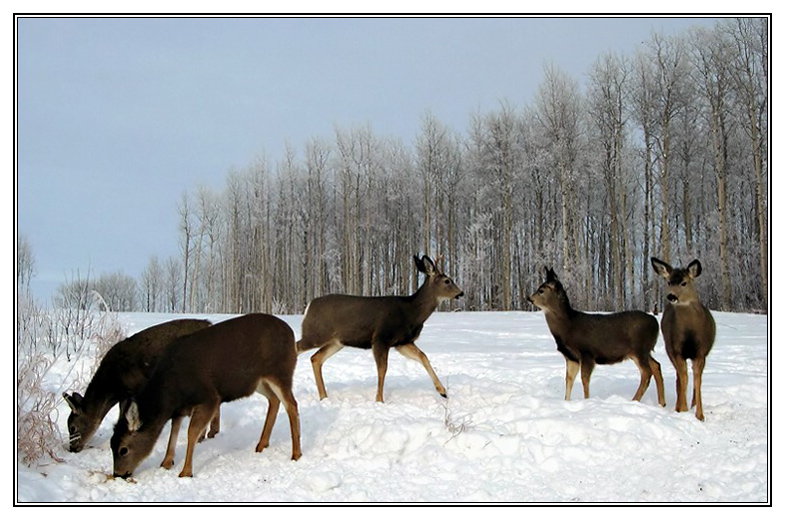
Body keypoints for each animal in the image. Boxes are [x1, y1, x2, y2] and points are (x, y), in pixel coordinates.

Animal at [62, 316, 214, 450]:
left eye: (72, 427)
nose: (72, 448)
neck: (113, 386)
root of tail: (209, 324)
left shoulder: (137, 387)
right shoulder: (126, 394)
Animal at [112, 312, 302, 480]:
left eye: (123, 449)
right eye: (111, 444)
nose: (118, 474)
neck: (171, 392)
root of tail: (291, 334)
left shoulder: (209, 397)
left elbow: (191, 432)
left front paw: (185, 472)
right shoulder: (180, 408)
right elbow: (174, 430)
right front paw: (166, 462)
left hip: (280, 371)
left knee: (292, 404)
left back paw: (296, 453)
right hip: (259, 382)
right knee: (274, 400)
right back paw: (262, 444)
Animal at [298, 254, 462, 404]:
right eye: (447, 280)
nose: (461, 293)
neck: (411, 312)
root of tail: (308, 307)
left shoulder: (402, 342)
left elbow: (423, 356)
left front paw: (443, 391)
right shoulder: (381, 338)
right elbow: (382, 369)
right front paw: (379, 401)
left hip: (336, 342)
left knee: (316, 358)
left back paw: (324, 397)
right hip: (315, 334)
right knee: (298, 348)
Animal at [524, 268, 664, 406]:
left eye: (541, 290)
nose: (528, 297)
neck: (567, 327)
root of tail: (656, 323)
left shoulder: (587, 353)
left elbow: (584, 379)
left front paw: (587, 401)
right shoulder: (571, 357)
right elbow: (569, 379)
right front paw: (566, 402)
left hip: (639, 349)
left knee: (647, 373)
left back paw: (634, 400)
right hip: (643, 351)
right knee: (656, 365)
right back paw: (662, 403)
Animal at [648, 256, 716, 422]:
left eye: (684, 282)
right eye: (669, 282)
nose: (671, 296)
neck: (690, 333)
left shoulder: (700, 352)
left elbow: (697, 380)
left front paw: (700, 415)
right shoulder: (677, 350)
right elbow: (683, 377)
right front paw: (683, 410)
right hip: (670, 349)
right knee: (679, 377)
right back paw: (679, 405)